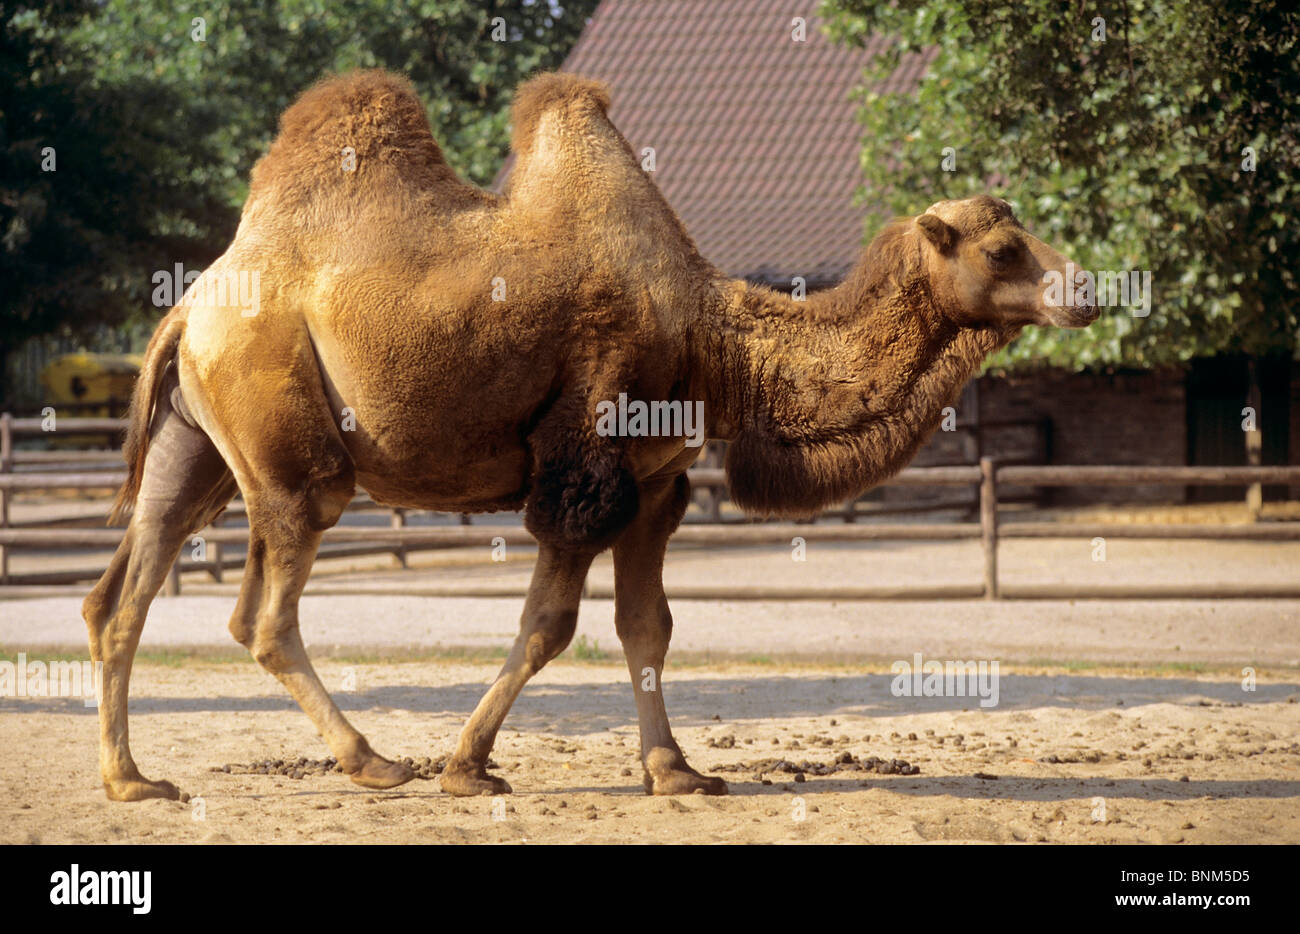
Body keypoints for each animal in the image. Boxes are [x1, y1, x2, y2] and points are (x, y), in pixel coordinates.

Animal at [83, 70, 1098, 801]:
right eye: (1002, 248)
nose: (1086, 290)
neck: (715, 341)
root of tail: (189, 308)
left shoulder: (655, 481)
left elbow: (647, 625)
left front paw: (677, 771)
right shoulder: (584, 461)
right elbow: (549, 626)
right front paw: (466, 768)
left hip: (198, 443)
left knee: (125, 587)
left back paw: (133, 782)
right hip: (286, 439)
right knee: (262, 612)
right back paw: (374, 763)